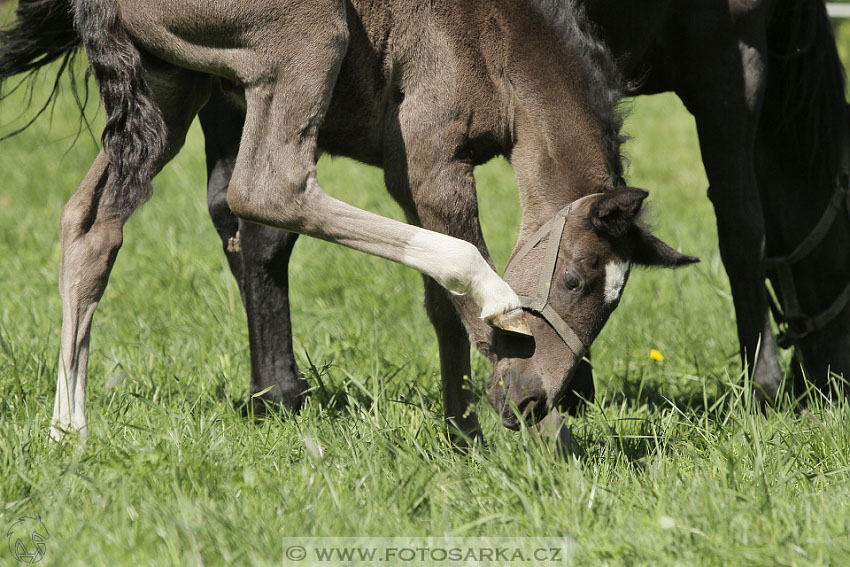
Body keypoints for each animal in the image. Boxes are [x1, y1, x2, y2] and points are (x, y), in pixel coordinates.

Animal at [0, 0, 696, 442]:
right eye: (574, 280)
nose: (532, 401)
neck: (494, 33)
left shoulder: (413, 174)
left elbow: (440, 308)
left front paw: (464, 434)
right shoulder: (431, 157)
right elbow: (463, 283)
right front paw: (547, 439)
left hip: (173, 86)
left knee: (88, 225)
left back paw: (68, 428)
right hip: (308, 39)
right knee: (268, 188)